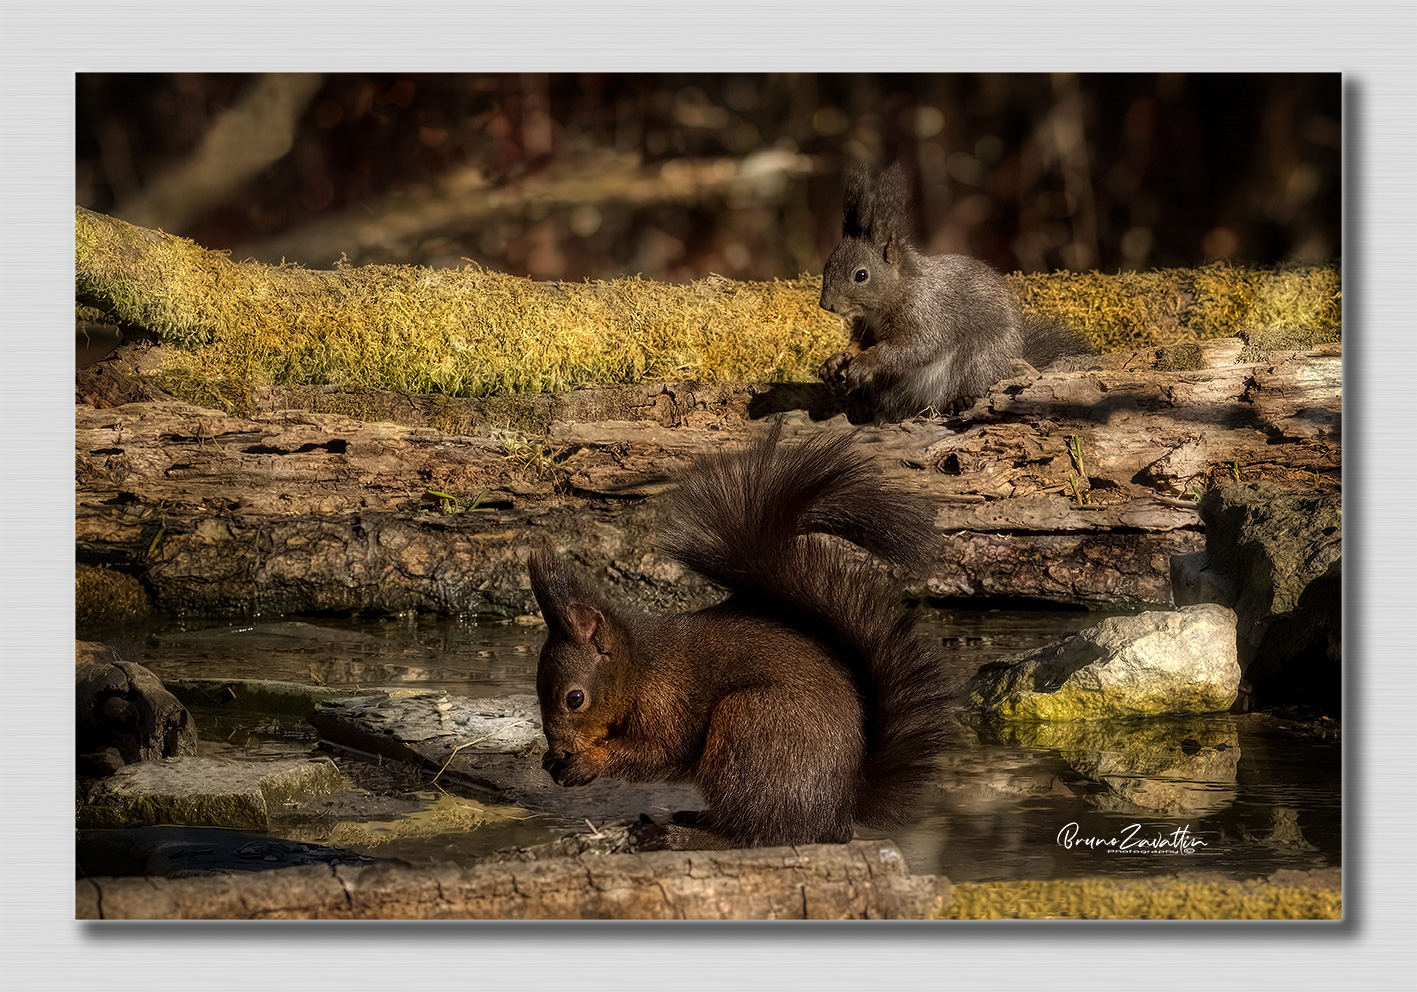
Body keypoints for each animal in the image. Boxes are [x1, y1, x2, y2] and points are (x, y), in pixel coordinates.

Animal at [528, 427, 948, 850]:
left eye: (575, 699)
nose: (559, 749)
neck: (640, 669)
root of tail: (841, 808)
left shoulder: (666, 703)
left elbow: (655, 752)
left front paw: (587, 762)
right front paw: (551, 762)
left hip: (752, 725)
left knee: (756, 836)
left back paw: (681, 836)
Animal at [819, 161, 1093, 422]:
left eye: (861, 275)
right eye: (827, 264)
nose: (825, 305)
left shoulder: (926, 312)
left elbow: (916, 346)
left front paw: (867, 361)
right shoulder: (867, 324)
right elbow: (861, 342)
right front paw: (837, 360)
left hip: (978, 361)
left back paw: (961, 401)